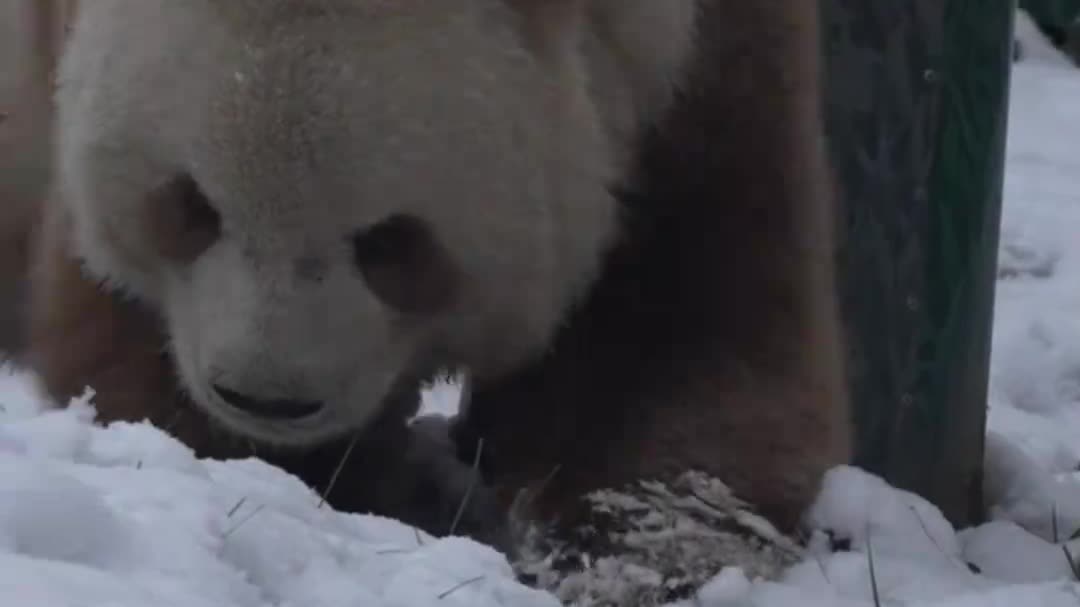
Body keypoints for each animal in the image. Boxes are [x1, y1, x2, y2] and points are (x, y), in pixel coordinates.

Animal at [15, 0, 850, 551]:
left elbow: (682, 339)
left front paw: (628, 542)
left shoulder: (713, 79)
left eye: (390, 241)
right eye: (191, 204)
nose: (265, 401)